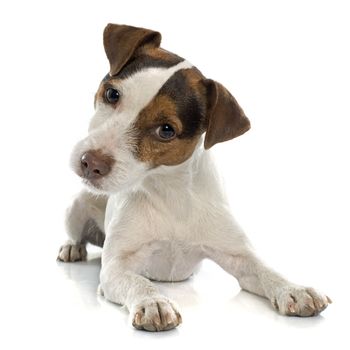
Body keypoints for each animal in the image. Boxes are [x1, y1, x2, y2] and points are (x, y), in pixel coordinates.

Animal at [57, 23, 330, 330]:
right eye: (112, 94)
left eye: (166, 130)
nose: (90, 163)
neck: (170, 193)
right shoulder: (116, 267)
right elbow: (139, 281)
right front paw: (154, 301)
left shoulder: (240, 257)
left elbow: (265, 269)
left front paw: (294, 289)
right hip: (78, 205)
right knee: (75, 233)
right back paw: (71, 247)